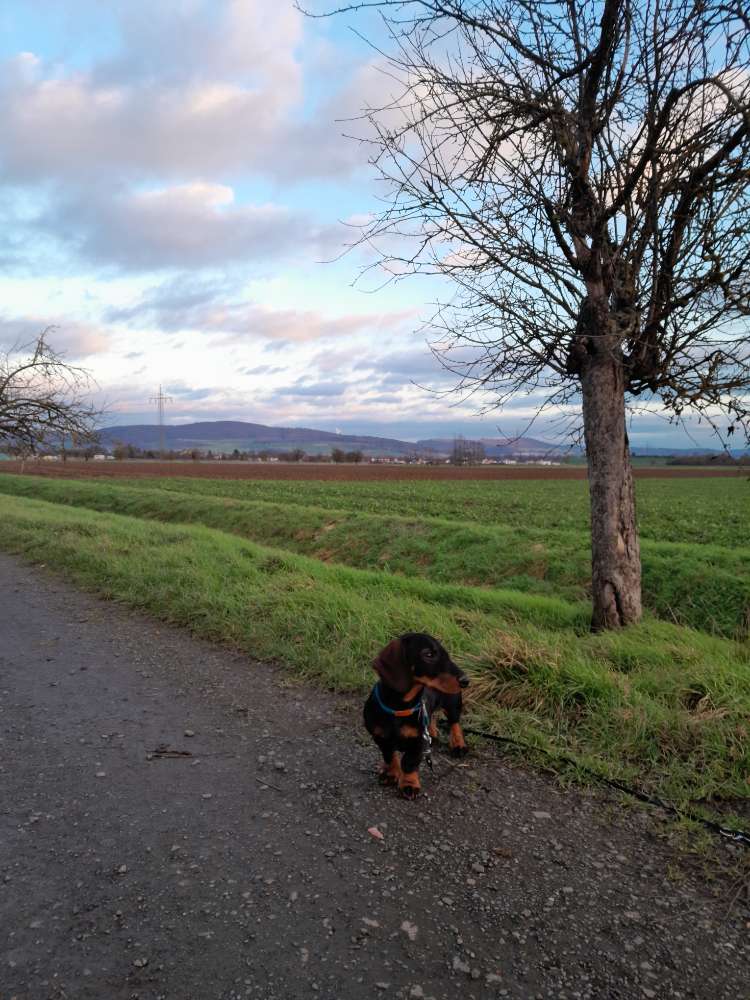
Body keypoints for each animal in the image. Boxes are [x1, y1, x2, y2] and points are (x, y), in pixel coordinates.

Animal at [364, 632, 470, 796]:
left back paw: (458, 745)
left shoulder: (417, 742)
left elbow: (409, 762)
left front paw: (409, 784)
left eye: (446, 655)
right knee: (431, 717)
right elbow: (389, 755)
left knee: (455, 724)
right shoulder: (380, 737)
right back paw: (432, 734)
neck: (399, 708)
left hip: (452, 703)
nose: (466, 680)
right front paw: (391, 773)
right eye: (428, 654)